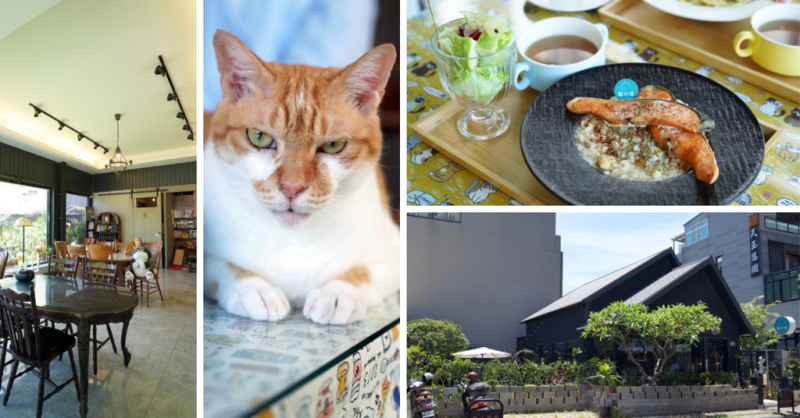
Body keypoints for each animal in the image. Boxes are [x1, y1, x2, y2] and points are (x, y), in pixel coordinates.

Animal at [203, 30, 396, 324]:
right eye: (259, 137)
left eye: (333, 146)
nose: (291, 188)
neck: (293, 241)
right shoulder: (208, 257)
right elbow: (226, 267)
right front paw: (254, 289)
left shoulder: (394, 256)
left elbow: (364, 273)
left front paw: (339, 293)